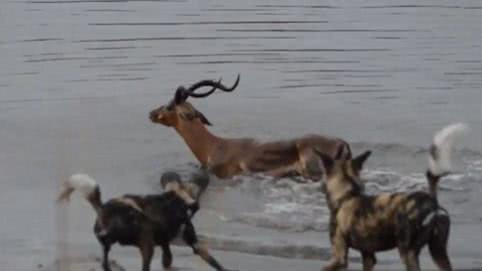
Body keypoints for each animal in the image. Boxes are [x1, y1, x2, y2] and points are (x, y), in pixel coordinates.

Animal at [56, 173, 233, 271]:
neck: (178, 198)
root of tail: (105, 209)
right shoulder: (194, 244)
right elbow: (216, 263)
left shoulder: (165, 244)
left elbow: (168, 261)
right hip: (147, 244)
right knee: (143, 266)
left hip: (111, 245)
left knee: (105, 263)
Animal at [314, 124, 468, 271]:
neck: (346, 195)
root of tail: (431, 200)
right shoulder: (368, 256)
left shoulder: (339, 258)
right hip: (438, 252)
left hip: (408, 253)